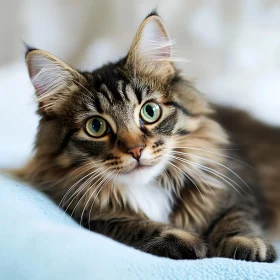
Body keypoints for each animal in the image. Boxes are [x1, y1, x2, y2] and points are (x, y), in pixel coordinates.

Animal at [13, 12, 280, 262]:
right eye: (96, 126)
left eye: (150, 111)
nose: (136, 150)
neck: (148, 186)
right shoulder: (85, 212)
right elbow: (135, 225)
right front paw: (182, 241)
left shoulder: (238, 185)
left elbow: (234, 218)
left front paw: (245, 243)